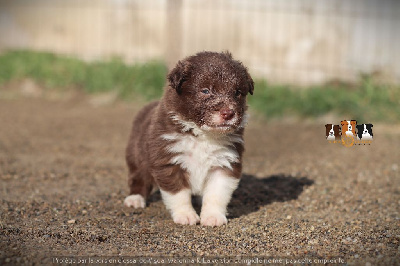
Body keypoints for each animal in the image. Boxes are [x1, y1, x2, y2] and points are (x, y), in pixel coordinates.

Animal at [123, 52, 253, 227]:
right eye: (205, 90)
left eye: (237, 92)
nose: (228, 113)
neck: (203, 135)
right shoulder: (170, 161)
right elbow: (179, 194)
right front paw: (186, 216)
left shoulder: (225, 163)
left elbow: (217, 194)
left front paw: (213, 217)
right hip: (137, 155)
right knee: (139, 177)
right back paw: (135, 199)